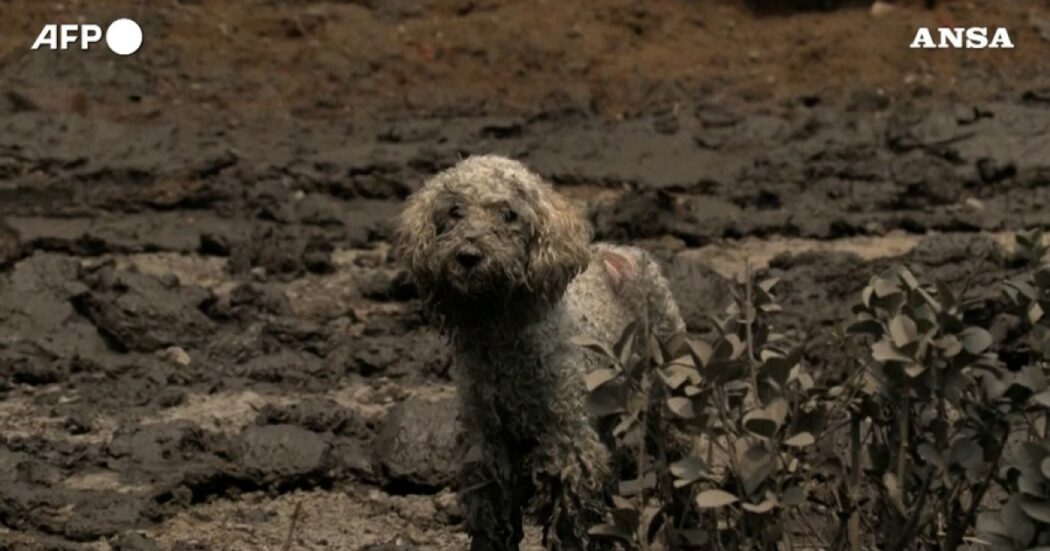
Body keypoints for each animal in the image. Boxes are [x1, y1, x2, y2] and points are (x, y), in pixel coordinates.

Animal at [396, 155, 684, 549]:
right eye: (454, 211)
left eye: (509, 214)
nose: (468, 256)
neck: (501, 335)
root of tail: (629, 251)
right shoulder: (488, 446)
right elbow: (492, 518)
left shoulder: (567, 443)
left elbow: (571, 523)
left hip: (667, 389)